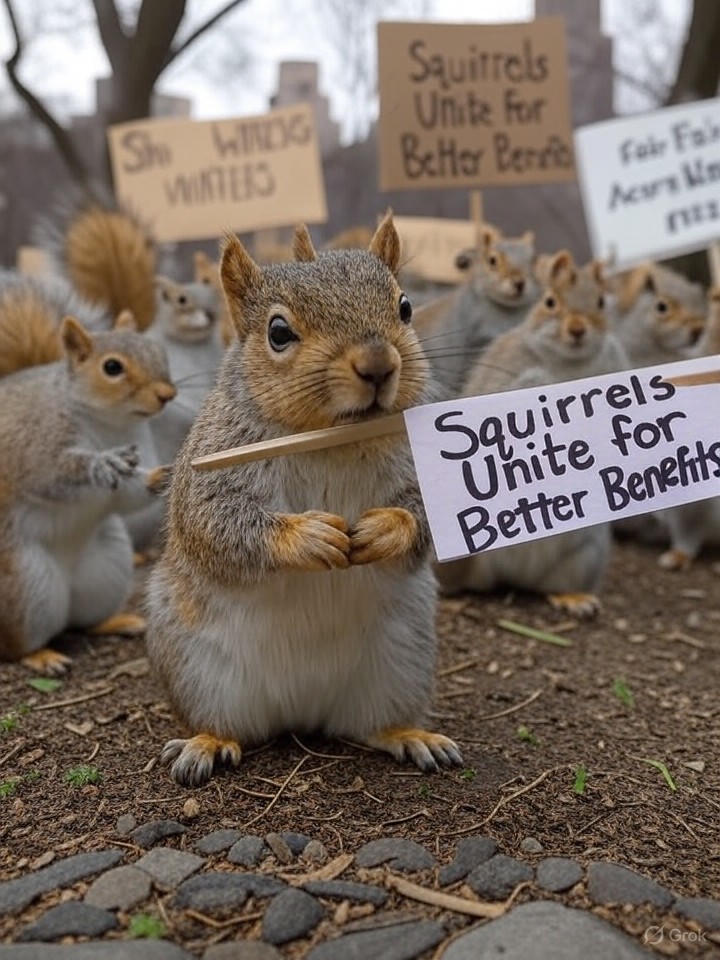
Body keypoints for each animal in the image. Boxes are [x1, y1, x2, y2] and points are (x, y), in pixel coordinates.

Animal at [0, 313, 175, 674]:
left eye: (158, 351)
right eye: (112, 367)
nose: (167, 394)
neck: (110, 424)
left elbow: (128, 496)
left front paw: (160, 476)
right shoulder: (37, 441)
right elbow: (52, 473)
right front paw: (100, 463)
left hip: (108, 570)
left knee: (82, 621)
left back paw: (116, 622)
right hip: (25, 590)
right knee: (13, 646)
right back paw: (40, 656)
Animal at [145, 213, 463, 787]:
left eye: (405, 307)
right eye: (278, 333)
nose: (378, 364)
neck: (332, 438)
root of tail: (302, 711)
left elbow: (430, 512)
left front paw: (388, 529)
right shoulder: (210, 466)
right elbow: (214, 521)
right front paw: (307, 536)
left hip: (402, 662)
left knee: (372, 724)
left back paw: (410, 735)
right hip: (195, 665)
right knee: (226, 724)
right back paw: (207, 743)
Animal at [435, 251, 627, 617]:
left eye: (600, 302)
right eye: (549, 302)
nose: (577, 329)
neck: (569, 366)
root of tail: (510, 576)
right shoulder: (503, 371)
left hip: (584, 556)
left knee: (550, 586)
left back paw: (573, 598)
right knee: (459, 581)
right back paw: (450, 597)